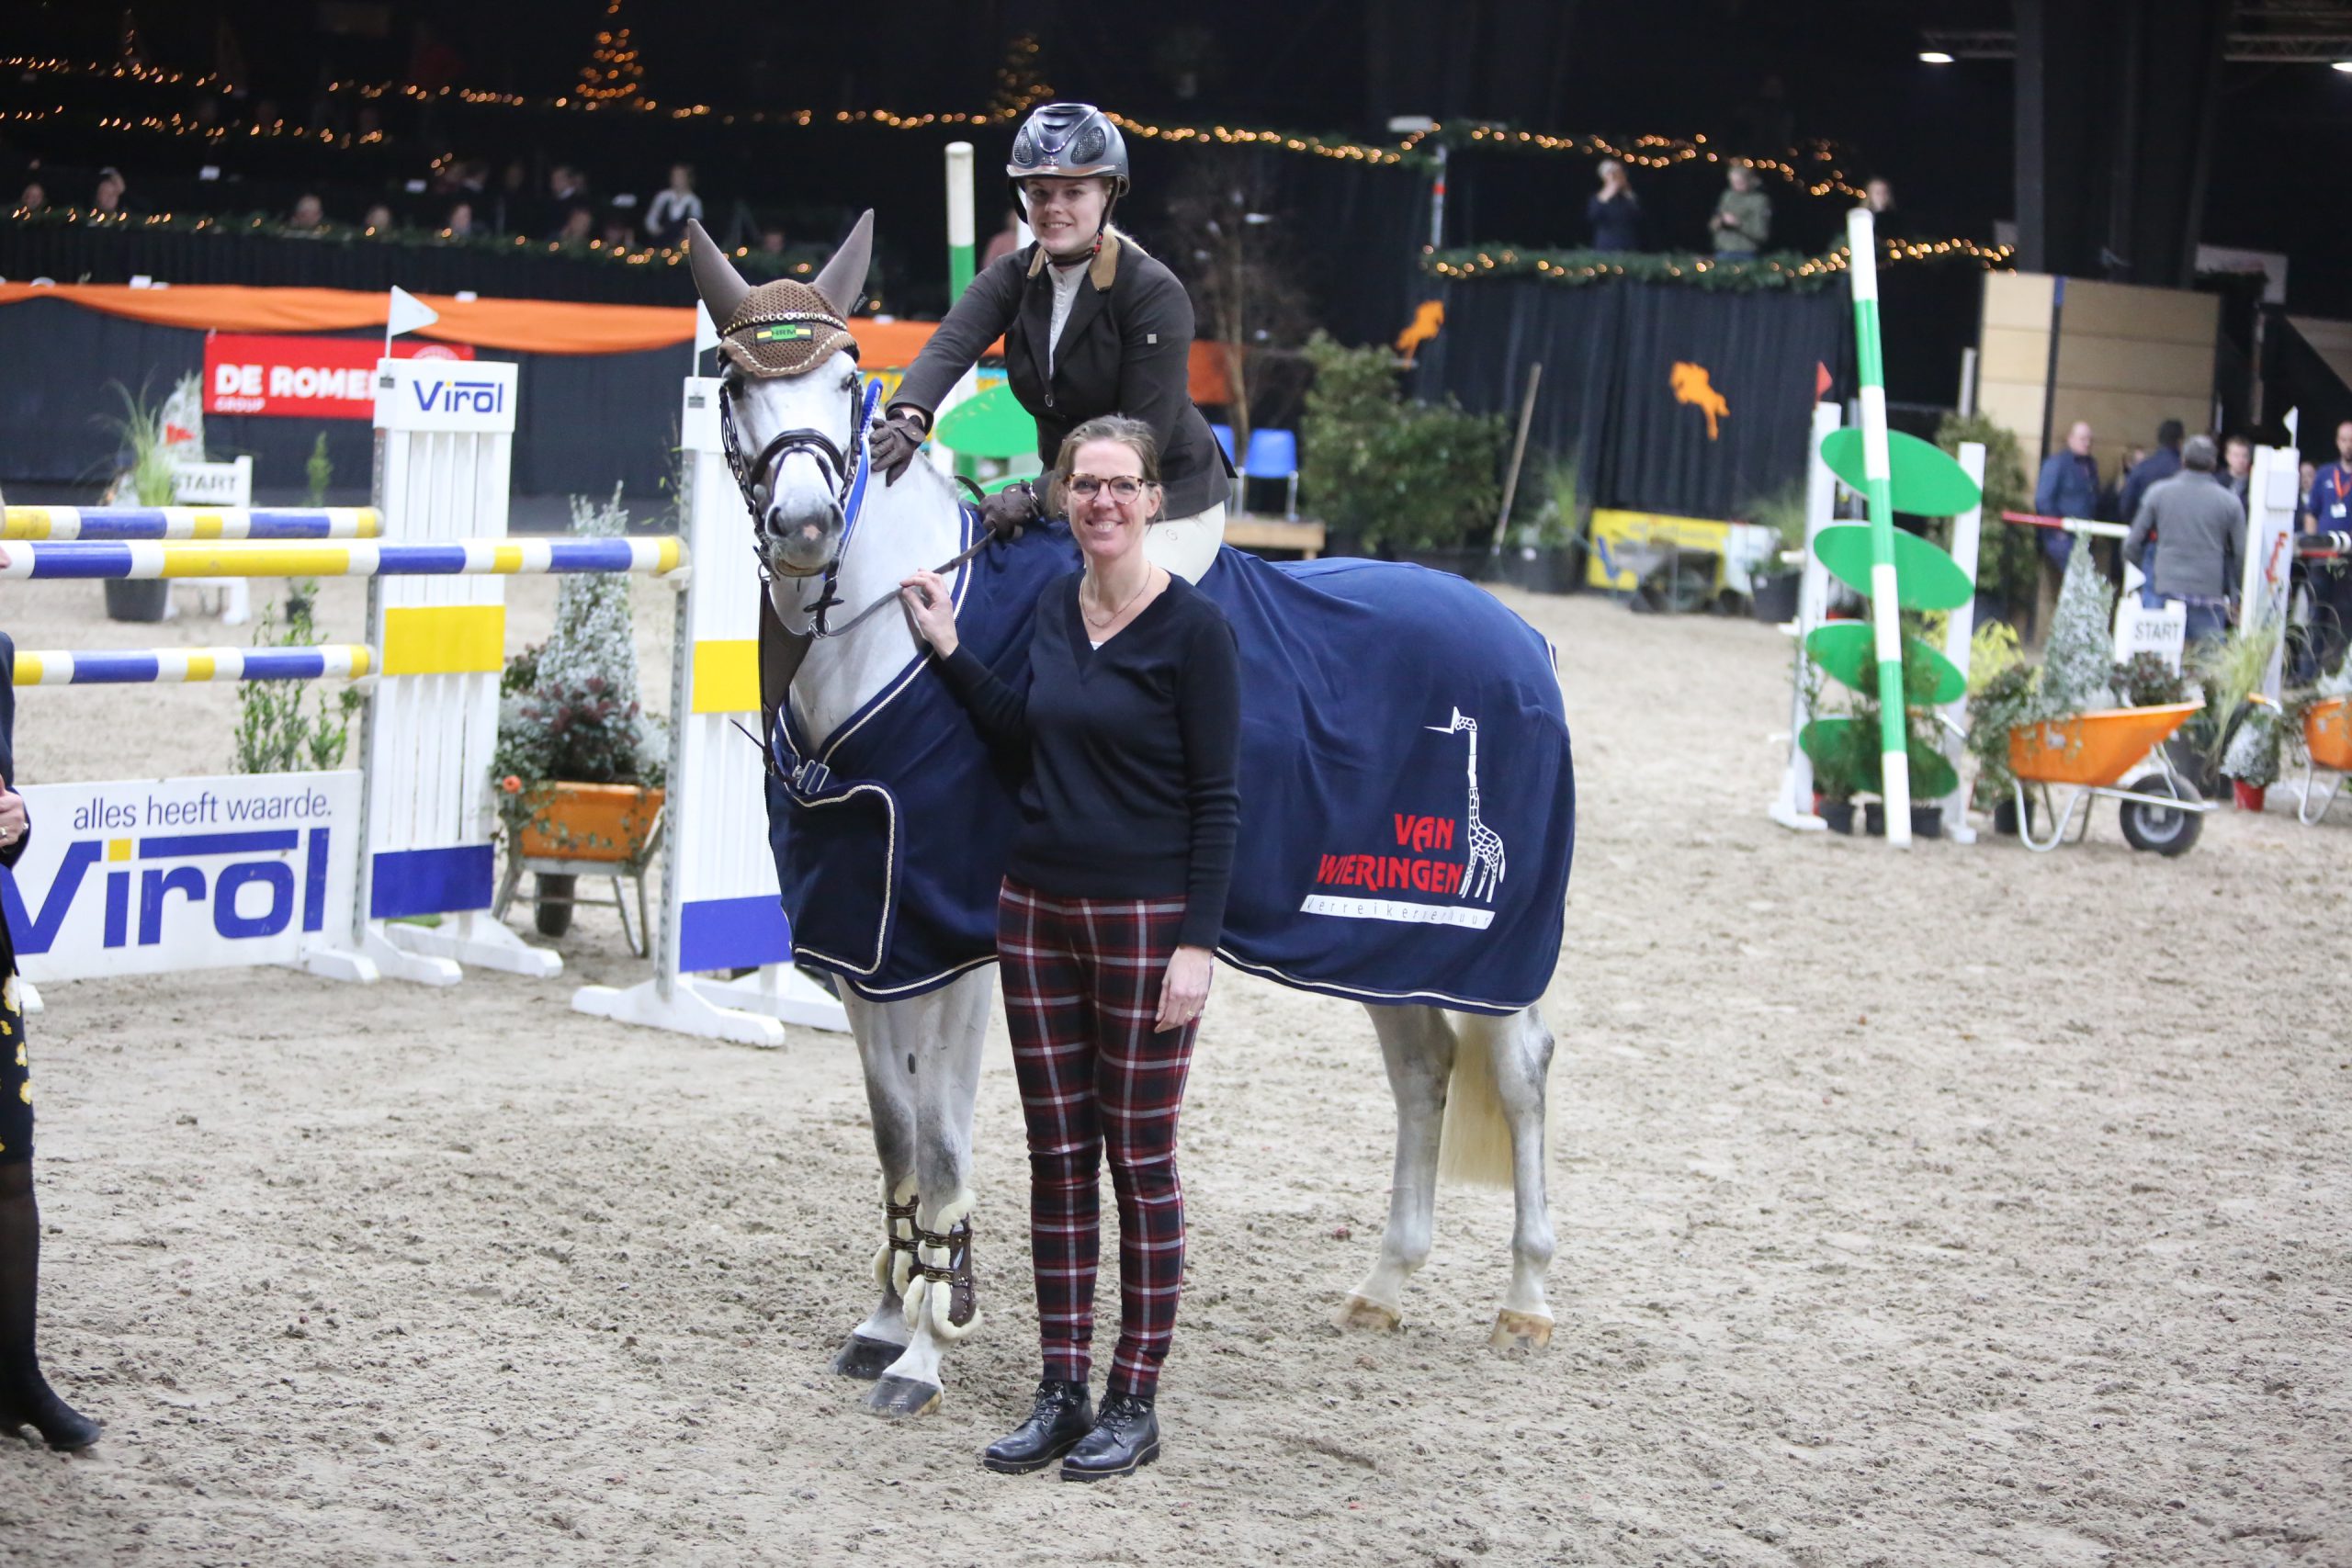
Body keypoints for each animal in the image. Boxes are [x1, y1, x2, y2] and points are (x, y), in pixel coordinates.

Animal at [686, 211, 1561, 1419]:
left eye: (850, 378)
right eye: (733, 382)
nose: (808, 523)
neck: (890, 642)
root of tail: (1522, 636)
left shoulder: (958, 944)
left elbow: (944, 1142)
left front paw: (925, 1348)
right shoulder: (870, 938)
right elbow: (893, 1136)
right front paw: (885, 1316)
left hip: (1491, 948)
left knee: (1519, 1075)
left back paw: (1525, 1301)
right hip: (1386, 937)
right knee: (1422, 1070)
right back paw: (1384, 1285)